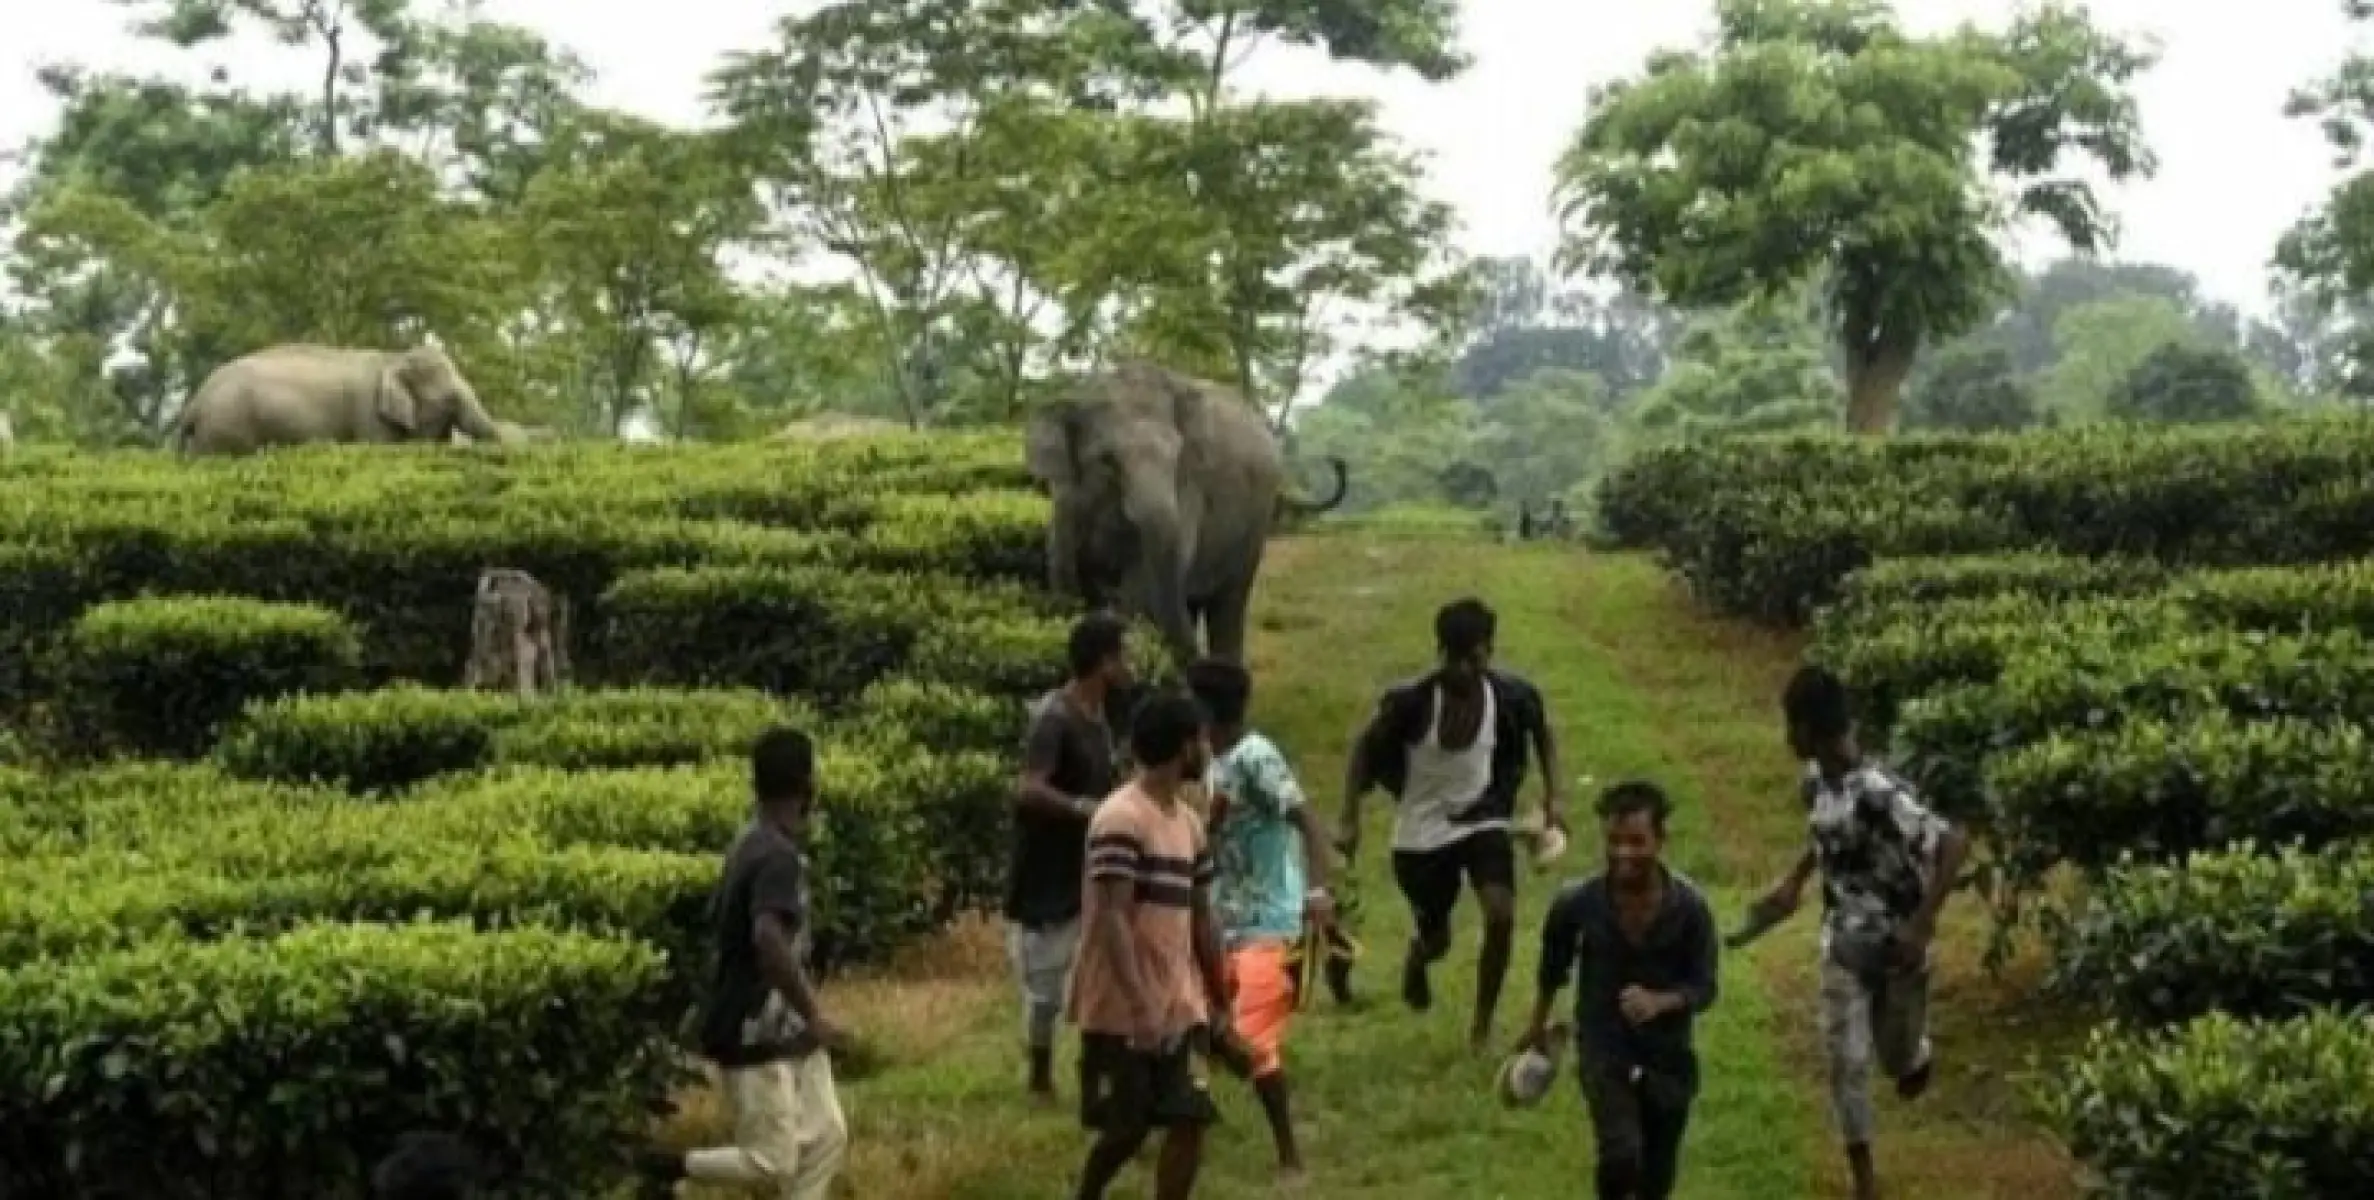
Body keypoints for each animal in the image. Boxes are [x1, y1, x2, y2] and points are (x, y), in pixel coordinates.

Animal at [1025, 361, 1357, 670]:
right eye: (1108, 461)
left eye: (1177, 458)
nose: (1339, 462)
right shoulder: (1067, 495)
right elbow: (1061, 567)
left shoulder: (1190, 486)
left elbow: (1146, 580)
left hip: (1255, 525)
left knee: (1229, 603)